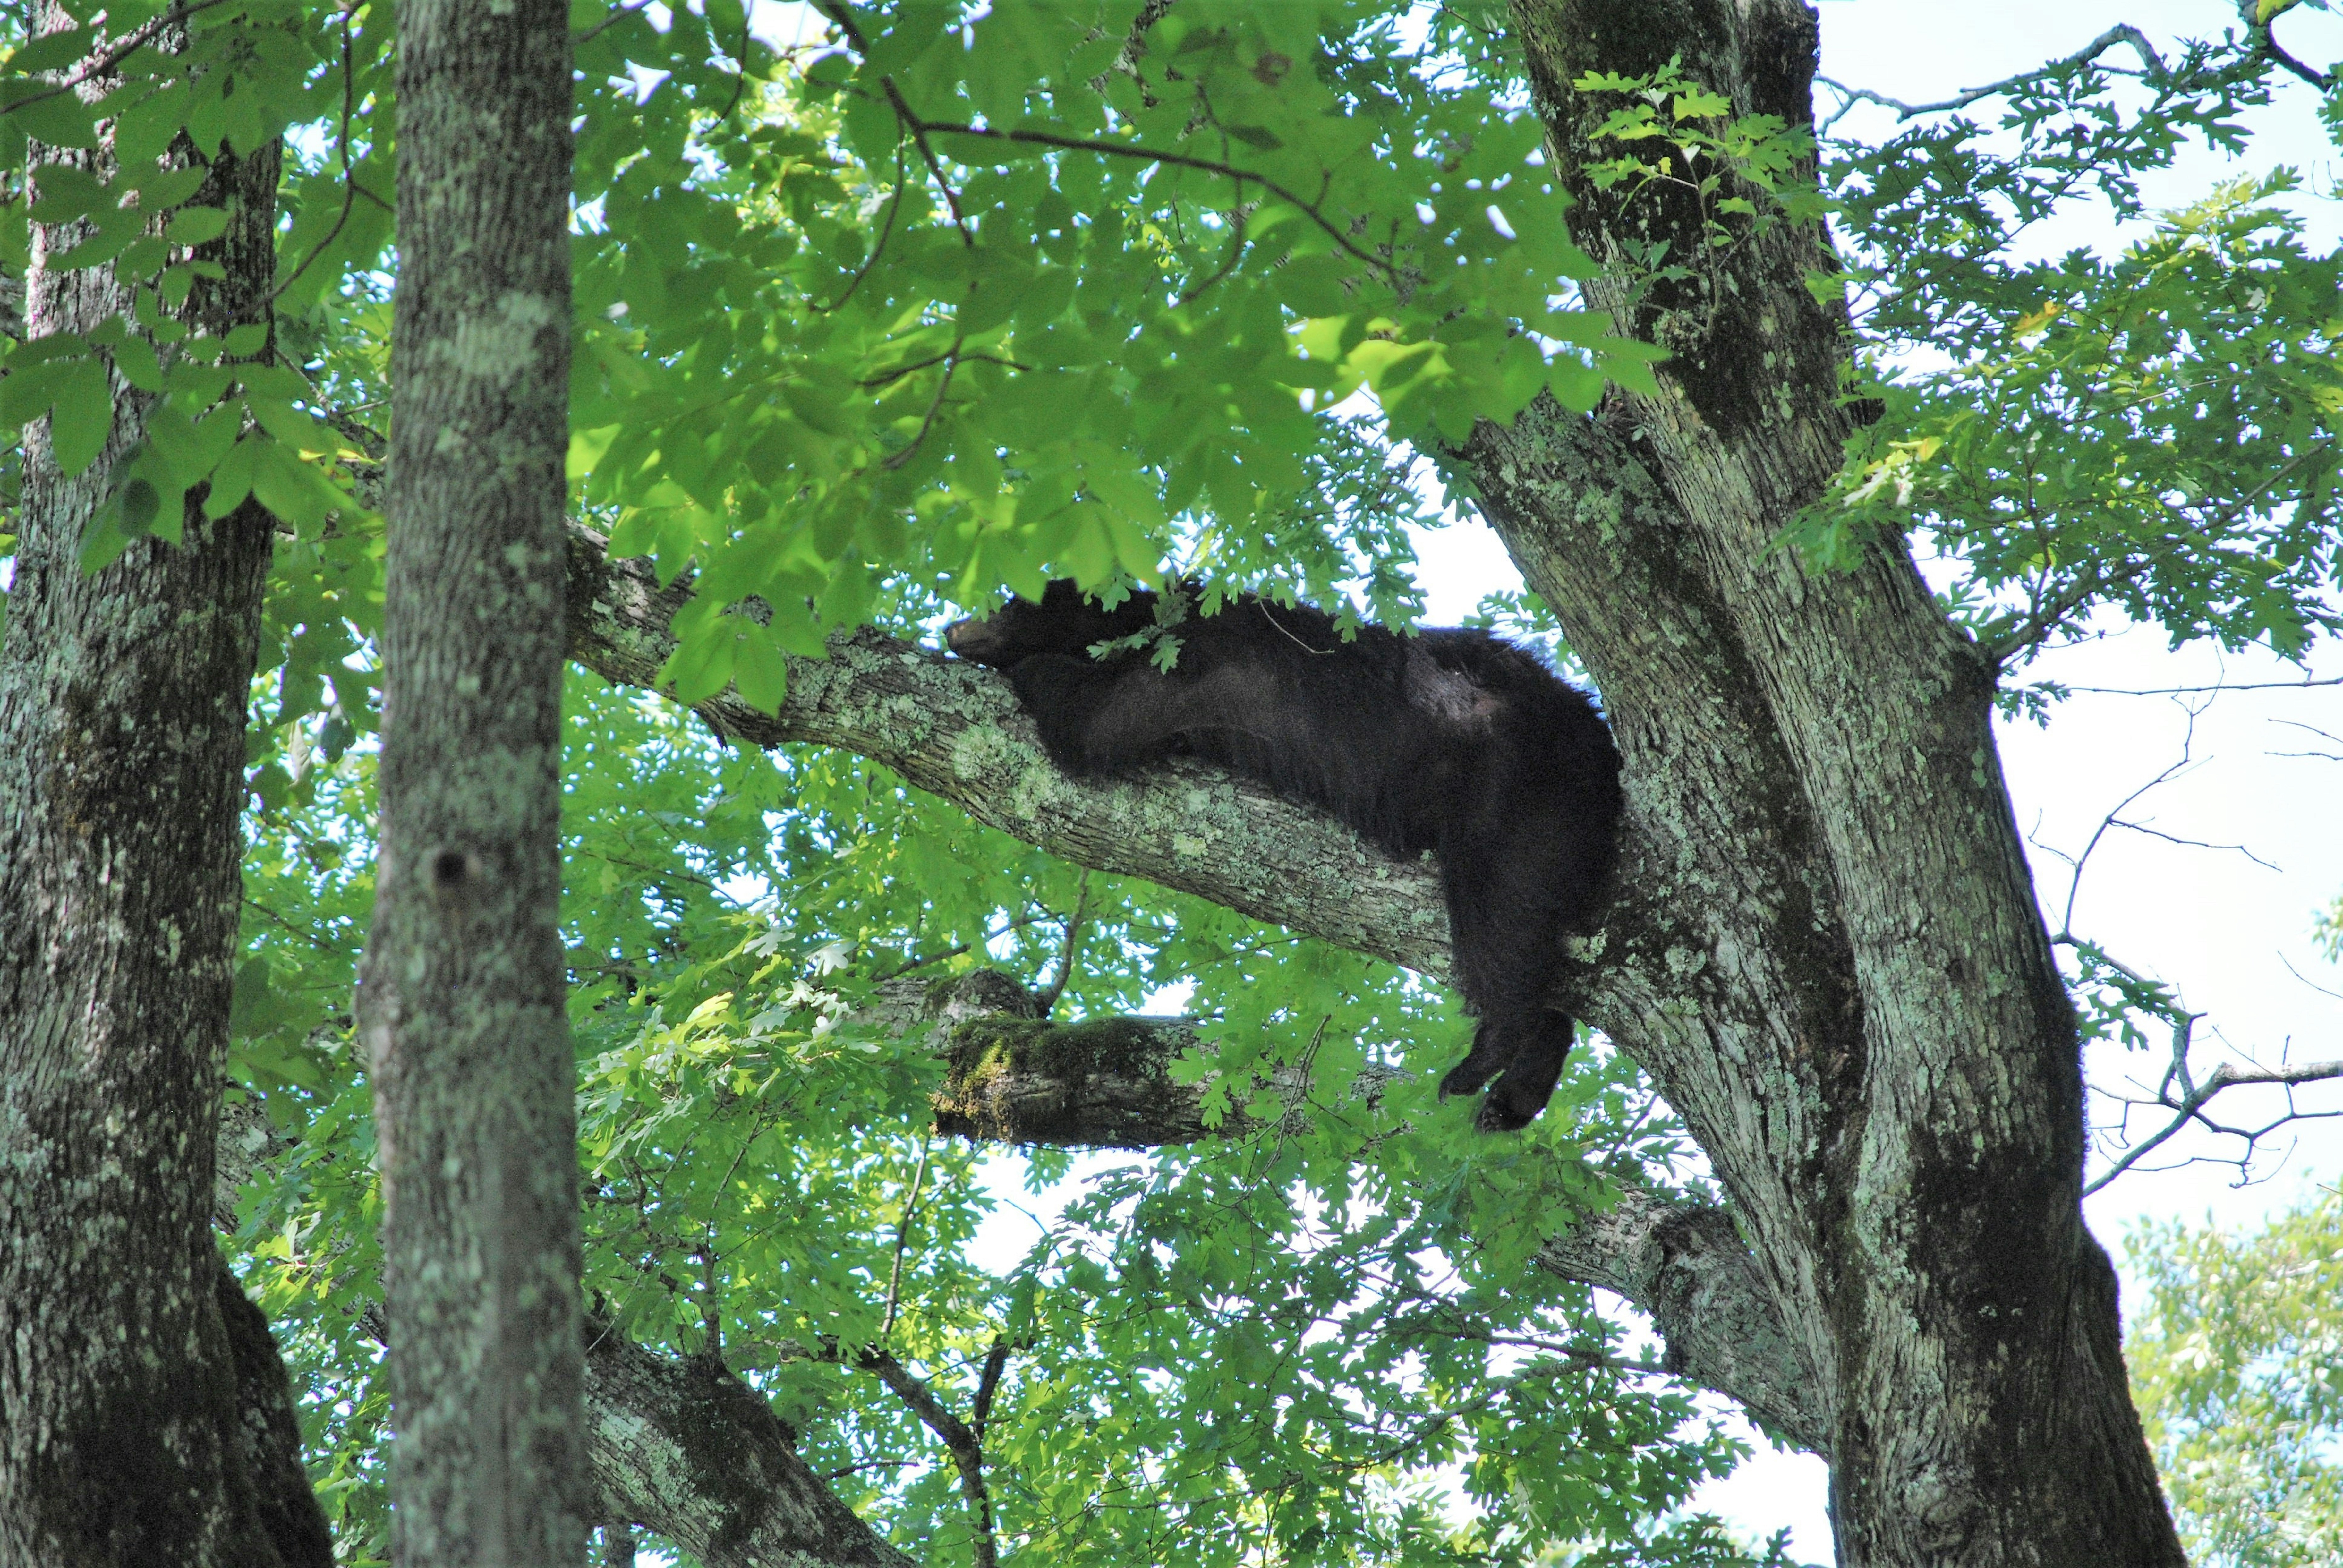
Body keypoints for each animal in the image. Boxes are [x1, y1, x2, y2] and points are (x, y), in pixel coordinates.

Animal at [946, 579, 1624, 1131]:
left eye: (1007, 601)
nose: (952, 625)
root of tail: (1592, 730)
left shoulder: (1186, 666)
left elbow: (1094, 721)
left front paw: (1034, 668)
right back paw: (1516, 1094)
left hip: (1511, 792)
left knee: (1496, 920)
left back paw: (1483, 1058)